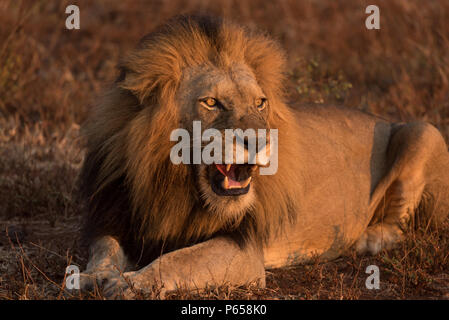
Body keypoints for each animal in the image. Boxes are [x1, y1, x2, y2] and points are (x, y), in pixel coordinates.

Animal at [77, 15, 448, 298]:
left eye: (260, 102)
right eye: (211, 102)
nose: (261, 142)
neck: (168, 180)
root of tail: (383, 118)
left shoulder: (244, 249)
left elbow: (179, 260)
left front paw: (130, 283)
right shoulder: (114, 213)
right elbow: (104, 248)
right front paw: (94, 275)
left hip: (423, 130)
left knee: (401, 223)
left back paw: (370, 238)